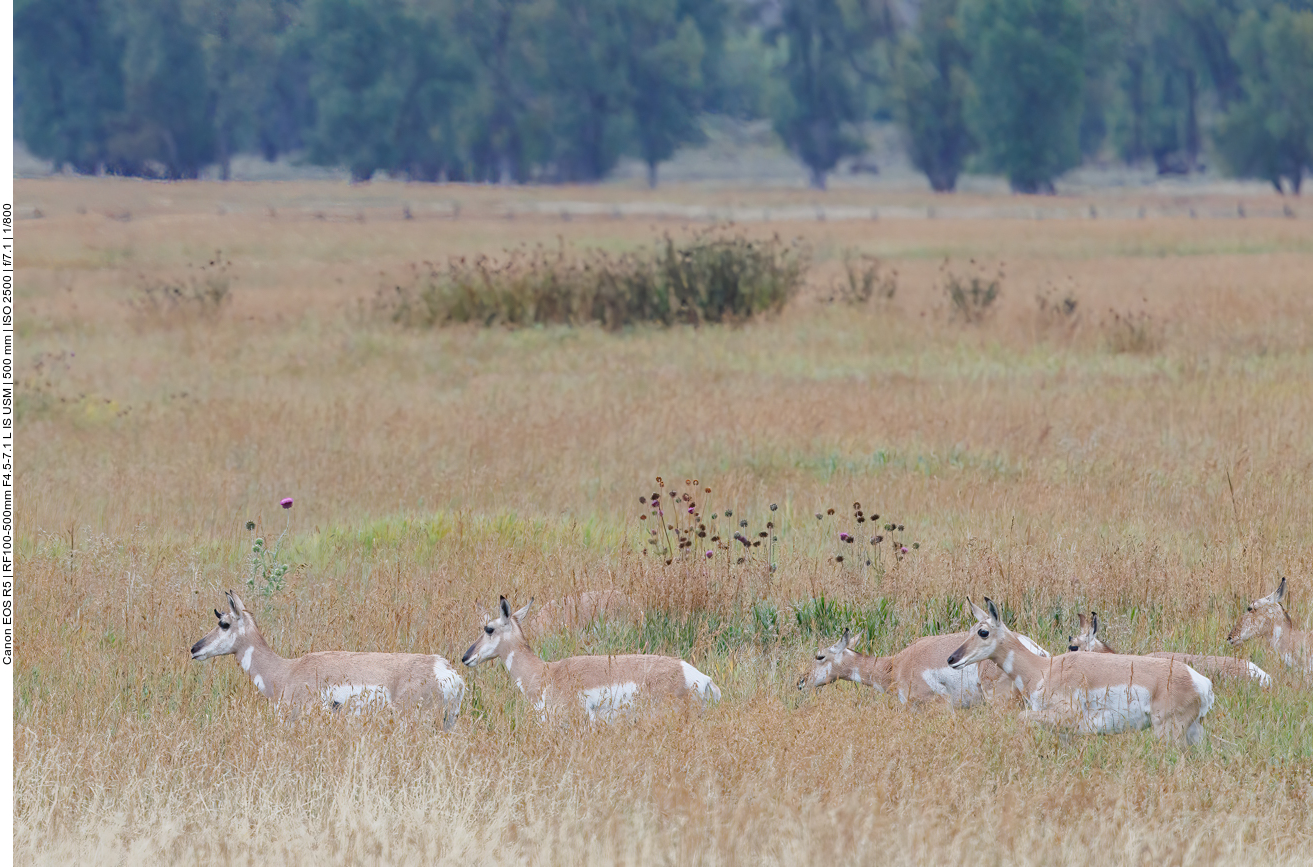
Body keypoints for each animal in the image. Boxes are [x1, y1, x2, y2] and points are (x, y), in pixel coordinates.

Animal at [950, 596, 1213, 746]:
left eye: (983, 632)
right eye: (970, 629)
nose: (952, 659)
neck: (1042, 670)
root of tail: (1199, 681)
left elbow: (1021, 718)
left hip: (1167, 731)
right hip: (1193, 732)